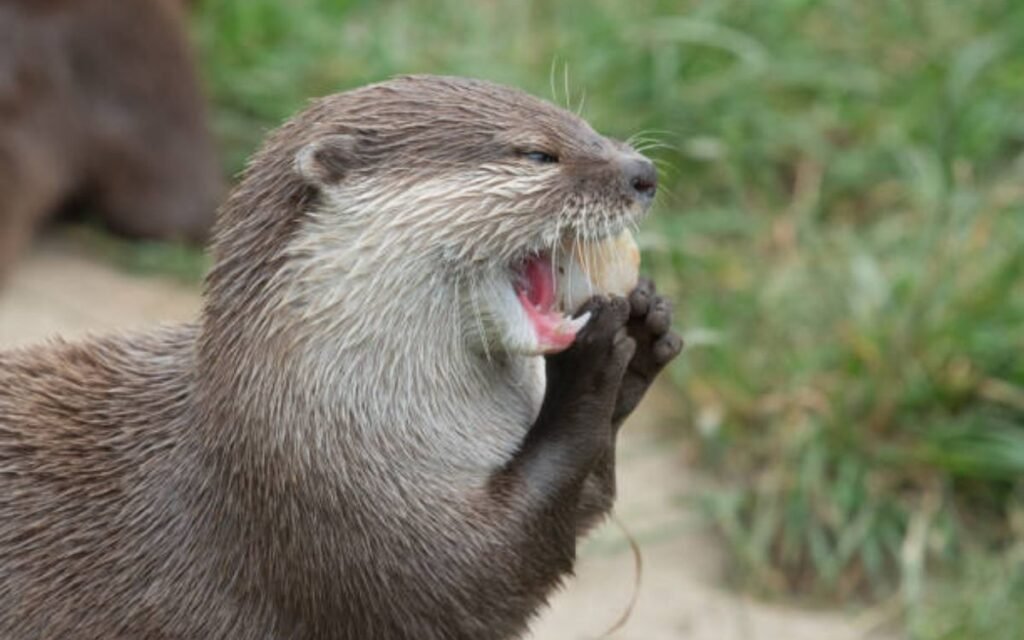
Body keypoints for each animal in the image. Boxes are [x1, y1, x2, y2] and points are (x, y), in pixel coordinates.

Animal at [0, 75, 682, 639]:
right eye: (538, 154)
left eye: (584, 125)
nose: (643, 172)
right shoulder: (346, 532)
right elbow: (487, 573)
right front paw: (592, 365)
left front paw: (643, 332)